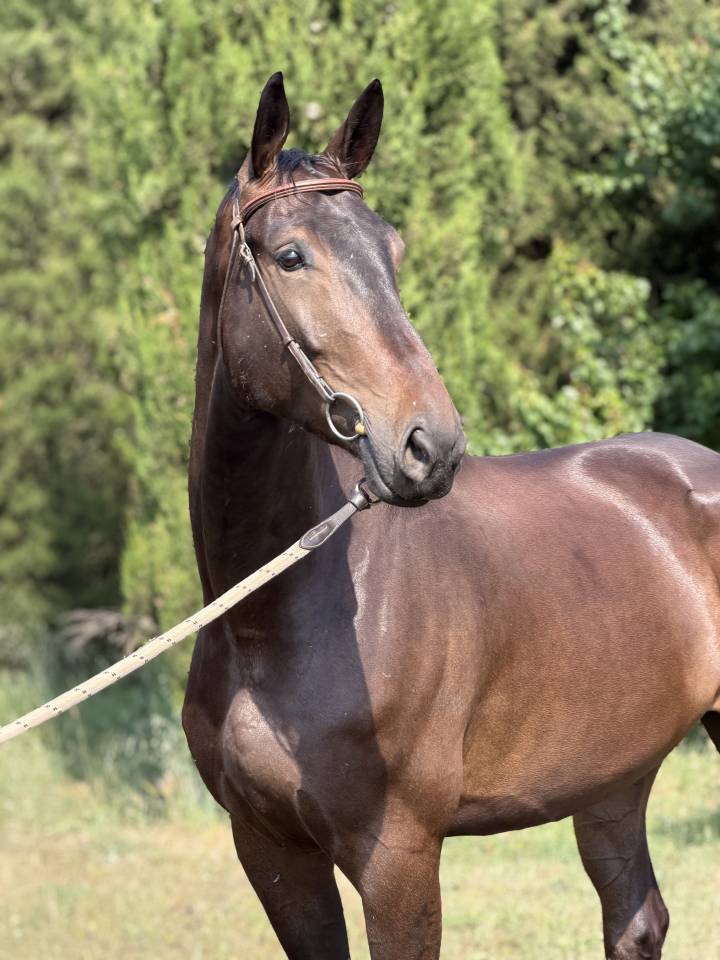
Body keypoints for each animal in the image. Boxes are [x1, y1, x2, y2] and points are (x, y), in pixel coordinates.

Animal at [182, 73, 720, 959]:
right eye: (291, 256)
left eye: (392, 250)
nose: (430, 445)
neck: (272, 621)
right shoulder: (271, 853)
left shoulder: (398, 855)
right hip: (615, 777)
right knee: (637, 920)